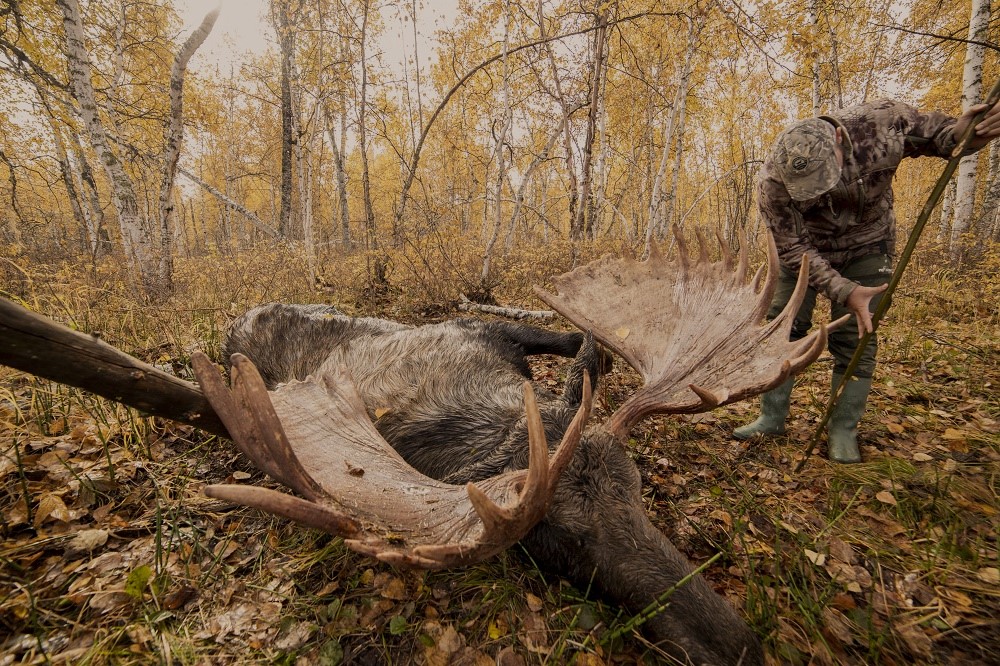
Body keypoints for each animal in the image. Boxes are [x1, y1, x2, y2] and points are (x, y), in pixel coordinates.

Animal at [0, 231, 844, 660]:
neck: (475, 407)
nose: (738, 644)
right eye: (558, 543)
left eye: (640, 493)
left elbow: (574, 340)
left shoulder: (490, 333)